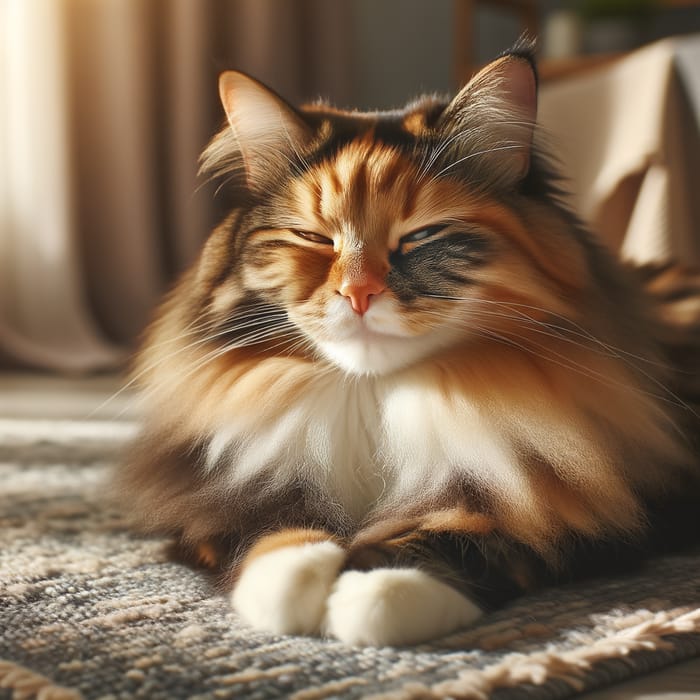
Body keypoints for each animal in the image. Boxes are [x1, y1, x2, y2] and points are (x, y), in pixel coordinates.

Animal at [115, 42, 700, 644]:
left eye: (421, 235)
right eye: (313, 238)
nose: (357, 292)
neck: (373, 401)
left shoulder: (600, 502)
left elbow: (476, 533)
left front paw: (374, 590)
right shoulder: (215, 488)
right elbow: (263, 522)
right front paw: (298, 576)